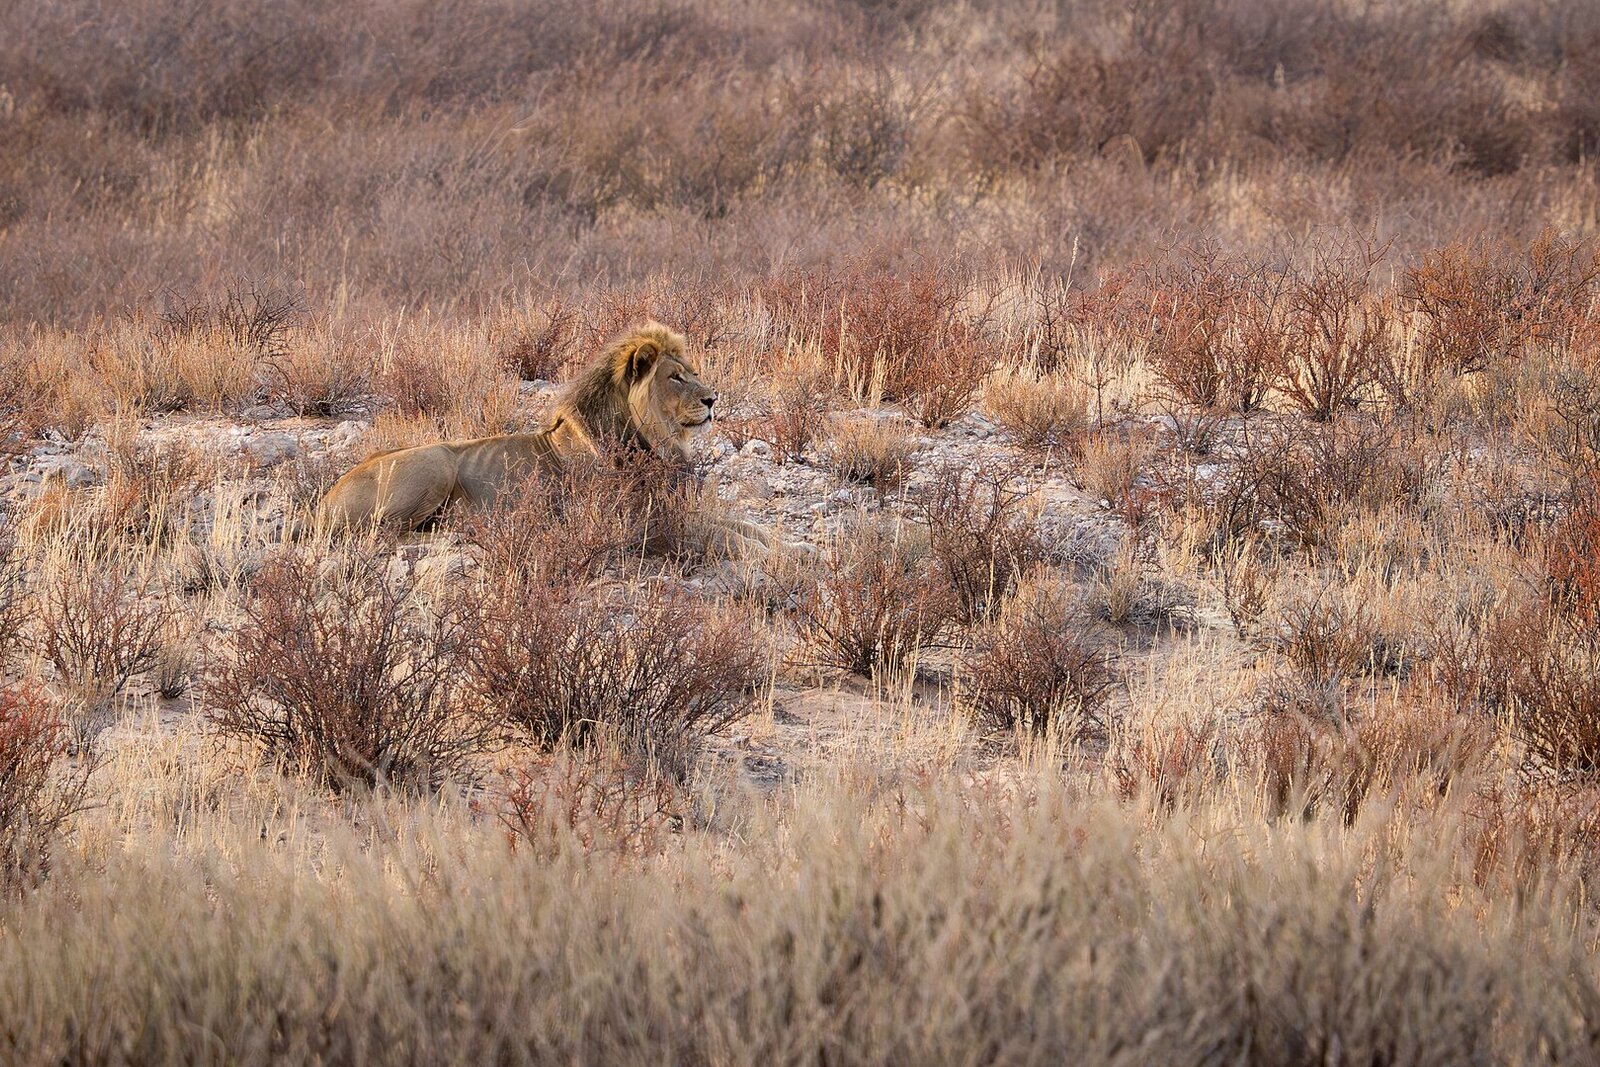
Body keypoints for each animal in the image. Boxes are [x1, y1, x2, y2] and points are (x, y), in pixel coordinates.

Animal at [316, 321, 776, 557]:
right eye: (675, 377)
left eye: (693, 372)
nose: (713, 399)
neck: (653, 439)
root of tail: (324, 500)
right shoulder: (640, 521)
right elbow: (725, 536)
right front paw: (776, 558)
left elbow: (747, 527)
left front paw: (788, 549)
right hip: (435, 463)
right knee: (382, 533)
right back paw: (457, 532)